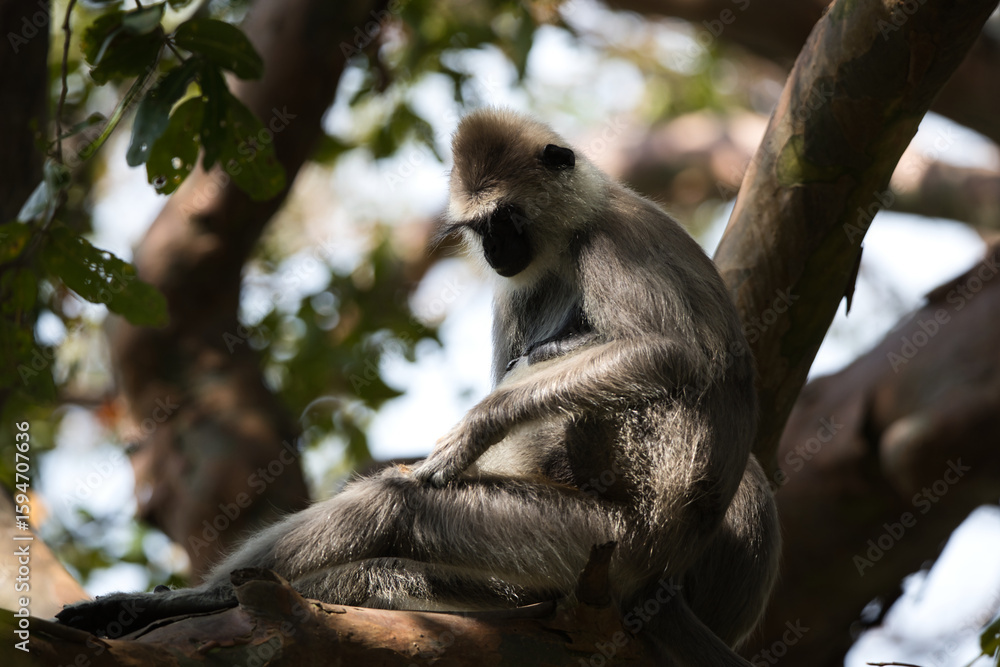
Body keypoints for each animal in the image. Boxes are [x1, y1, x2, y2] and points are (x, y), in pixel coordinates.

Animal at [57, 108, 779, 666]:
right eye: (482, 229)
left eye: (505, 220)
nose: (496, 253)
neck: (579, 225)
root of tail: (659, 572)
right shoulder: (521, 288)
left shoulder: (612, 242)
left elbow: (673, 354)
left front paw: (478, 424)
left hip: (604, 539)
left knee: (400, 506)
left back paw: (207, 597)